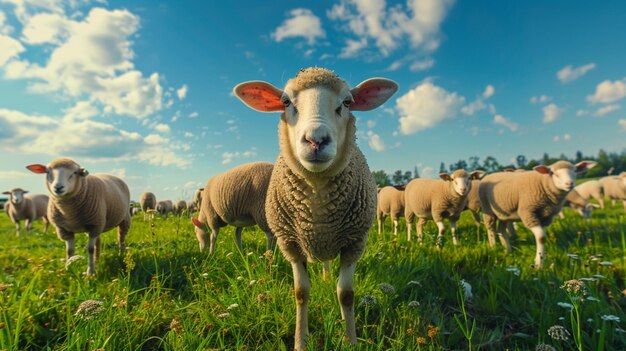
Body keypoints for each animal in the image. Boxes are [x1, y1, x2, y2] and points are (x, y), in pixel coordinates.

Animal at [232, 66, 398, 350]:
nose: (316, 140)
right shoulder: (289, 243)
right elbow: (301, 292)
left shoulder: (354, 242)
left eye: (347, 102)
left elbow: (346, 294)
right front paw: (301, 341)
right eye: (286, 101)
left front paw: (350, 340)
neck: (317, 208)